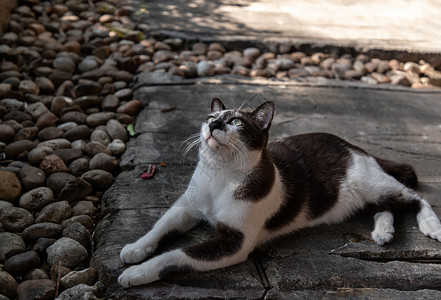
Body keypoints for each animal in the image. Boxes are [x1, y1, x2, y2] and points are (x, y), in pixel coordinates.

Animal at [116, 98, 440, 288]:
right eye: (211, 117)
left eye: (236, 122)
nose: (214, 123)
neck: (221, 175)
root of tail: (354, 145)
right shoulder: (187, 207)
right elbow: (160, 227)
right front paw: (134, 249)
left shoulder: (234, 242)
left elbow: (176, 254)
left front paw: (136, 274)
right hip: (364, 196)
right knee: (385, 207)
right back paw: (383, 232)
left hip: (372, 184)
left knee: (415, 197)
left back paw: (431, 226)